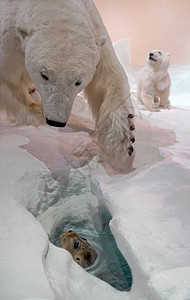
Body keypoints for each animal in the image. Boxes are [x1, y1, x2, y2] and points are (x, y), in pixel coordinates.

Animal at [0, 0, 135, 162]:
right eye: (44, 75)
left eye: (78, 82)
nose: (55, 121)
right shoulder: (8, 37)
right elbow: (6, 80)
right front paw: (36, 113)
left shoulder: (95, 29)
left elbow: (107, 77)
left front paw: (122, 137)